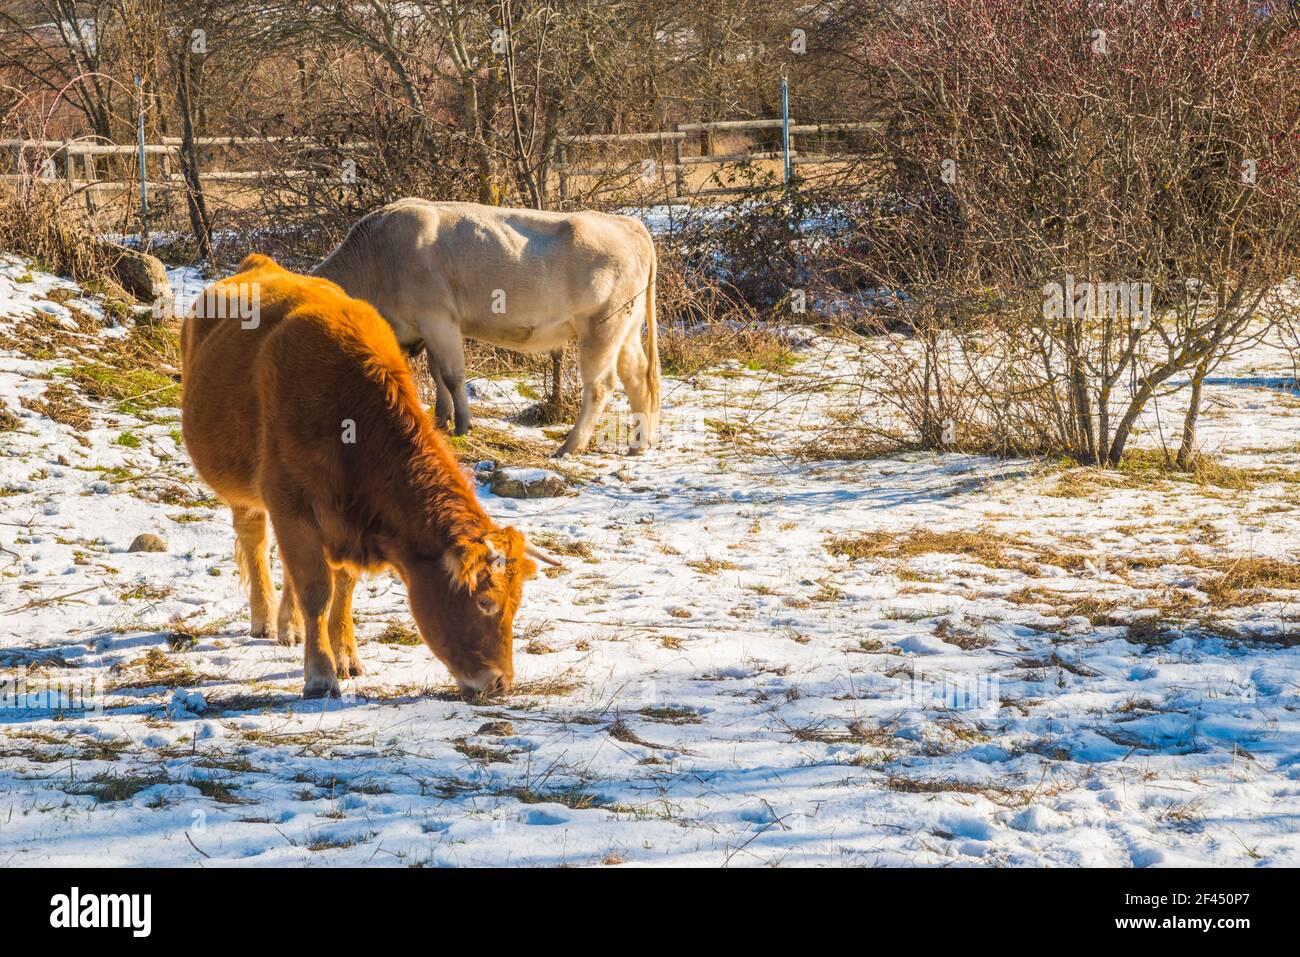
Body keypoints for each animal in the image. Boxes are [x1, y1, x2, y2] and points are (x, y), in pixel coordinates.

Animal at [179, 257, 553, 696]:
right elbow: (316, 590)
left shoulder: (346, 521)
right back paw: (265, 619)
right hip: (243, 487)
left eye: (516, 604)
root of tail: (259, 264)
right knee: (254, 539)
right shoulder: (292, 501)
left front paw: (344, 656)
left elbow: (342, 587)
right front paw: (320, 674)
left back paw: (290, 627)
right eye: (485, 601)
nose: (501, 682)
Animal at [313, 197, 660, 455]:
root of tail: (625, 223)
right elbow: (437, 374)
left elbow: (452, 376)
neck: (376, 260)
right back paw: (638, 445)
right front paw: (440, 420)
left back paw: (570, 446)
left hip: (601, 327)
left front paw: (462, 426)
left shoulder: (438, 319)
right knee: (637, 376)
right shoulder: (428, 328)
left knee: (600, 385)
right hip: (626, 329)